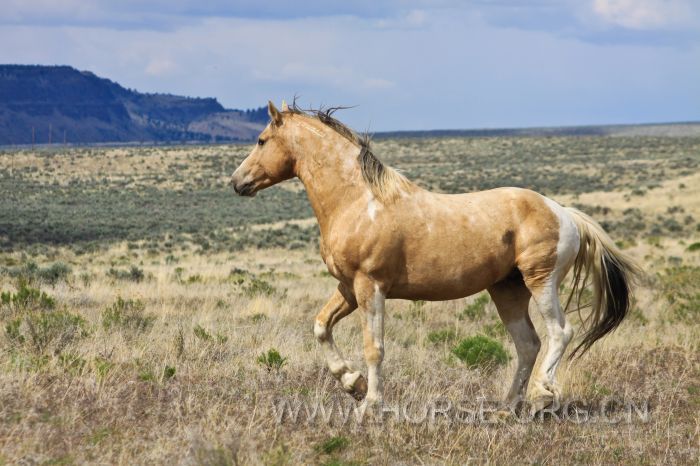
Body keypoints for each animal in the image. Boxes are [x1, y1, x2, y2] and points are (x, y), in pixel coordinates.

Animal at [230, 101, 640, 412]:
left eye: (261, 139)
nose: (236, 182)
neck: (358, 201)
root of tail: (564, 213)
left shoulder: (370, 287)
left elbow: (374, 348)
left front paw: (370, 404)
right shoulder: (348, 288)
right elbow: (321, 326)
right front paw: (353, 383)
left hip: (541, 282)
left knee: (559, 333)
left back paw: (541, 396)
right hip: (507, 291)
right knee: (528, 345)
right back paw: (507, 407)